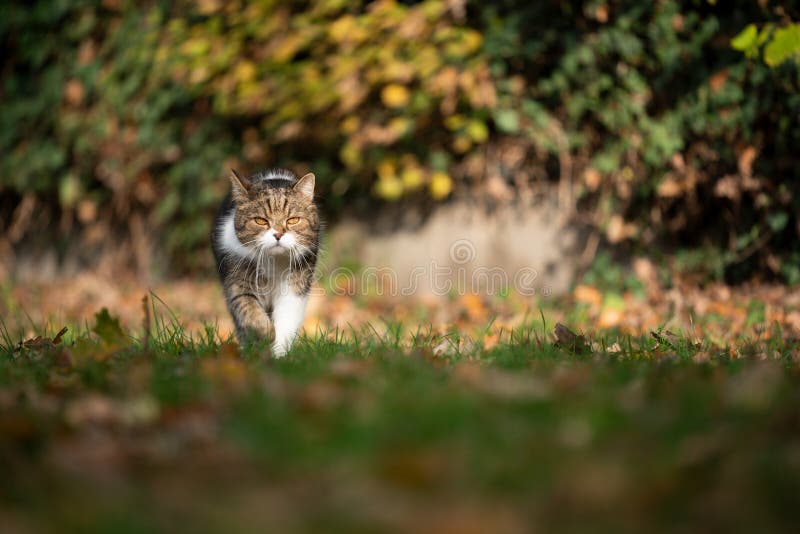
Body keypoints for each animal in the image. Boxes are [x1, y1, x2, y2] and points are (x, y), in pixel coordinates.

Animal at [211, 170, 320, 358]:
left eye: (293, 220)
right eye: (261, 221)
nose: (278, 234)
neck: (273, 262)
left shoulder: (295, 286)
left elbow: (286, 321)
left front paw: (279, 355)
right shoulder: (236, 279)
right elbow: (248, 308)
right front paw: (266, 333)